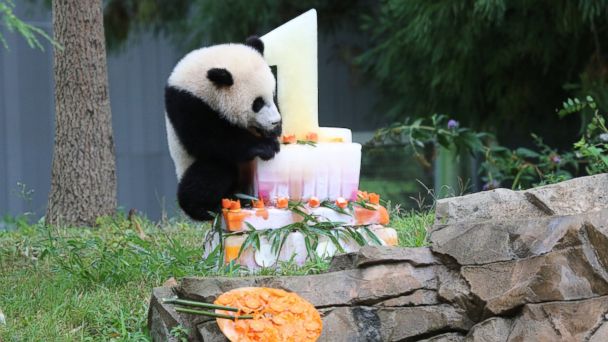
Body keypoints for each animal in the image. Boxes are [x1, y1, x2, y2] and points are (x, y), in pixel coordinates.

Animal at [165, 36, 282, 219]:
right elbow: (209, 139)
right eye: (257, 103)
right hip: (188, 163)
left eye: (273, 95)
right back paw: (204, 208)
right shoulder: (187, 103)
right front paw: (266, 146)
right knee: (214, 172)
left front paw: (274, 132)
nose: (275, 122)